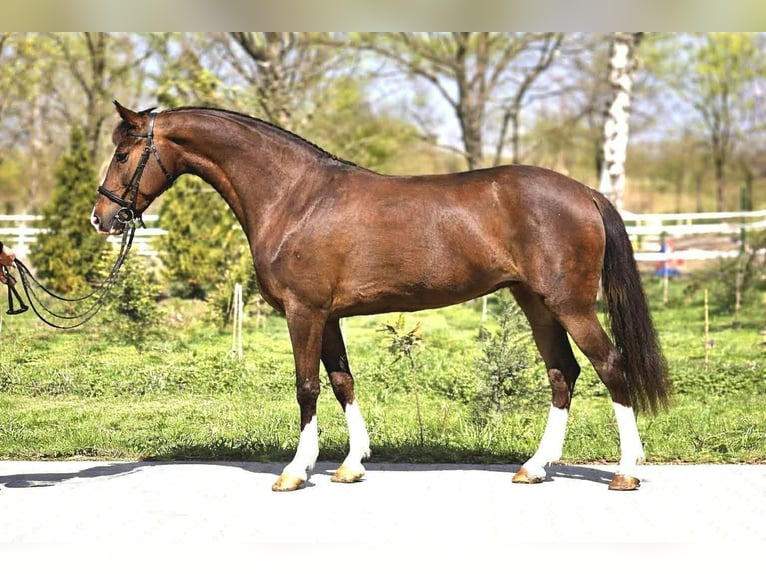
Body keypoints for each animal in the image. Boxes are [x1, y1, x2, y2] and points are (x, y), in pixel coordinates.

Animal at [91, 101, 670, 492]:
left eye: (122, 153)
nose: (103, 218)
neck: (294, 196)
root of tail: (587, 193)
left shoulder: (304, 312)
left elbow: (307, 387)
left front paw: (295, 471)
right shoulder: (327, 317)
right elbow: (341, 381)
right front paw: (351, 464)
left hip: (569, 305)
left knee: (610, 365)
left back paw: (625, 472)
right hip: (537, 304)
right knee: (562, 374)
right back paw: (534, 467)